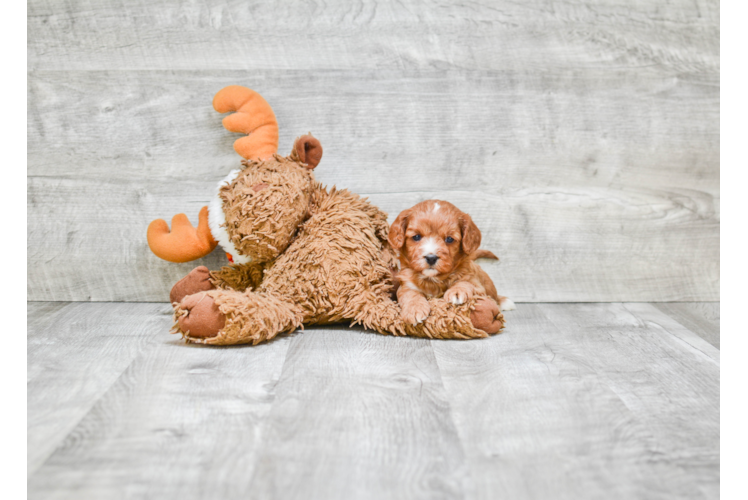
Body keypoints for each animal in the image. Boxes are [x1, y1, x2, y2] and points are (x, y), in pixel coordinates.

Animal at [386, 199, 516, 324]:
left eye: (449, 239)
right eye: (416, 237)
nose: (431, 258)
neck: (433, 280)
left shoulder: (477, 285)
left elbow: (467, 282)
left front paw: (457, 291)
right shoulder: (406, 285)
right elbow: (410, 294)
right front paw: (414, 309)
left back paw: (504, 301)